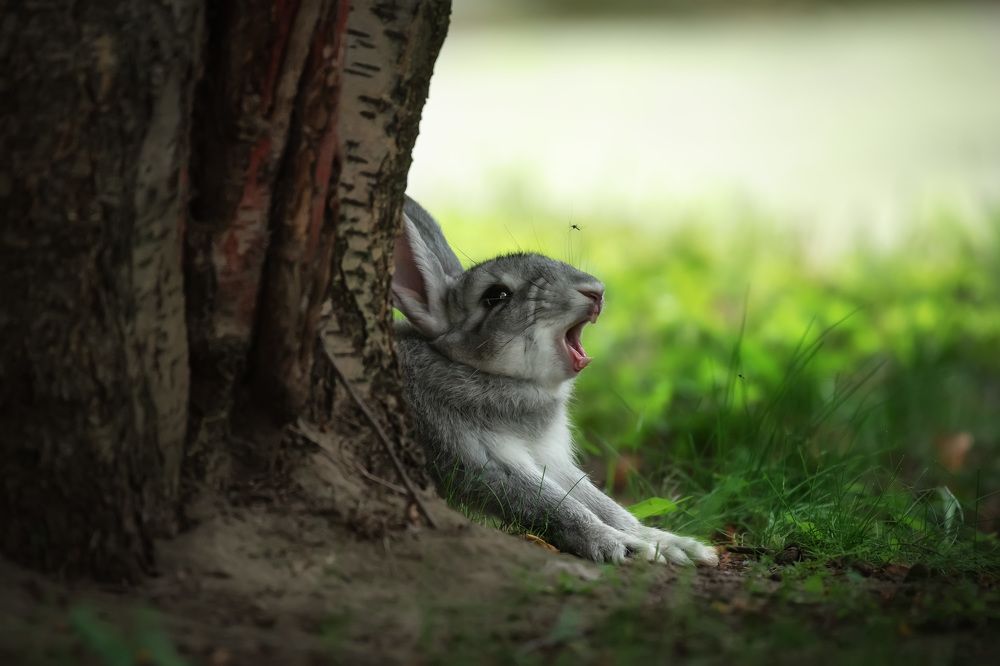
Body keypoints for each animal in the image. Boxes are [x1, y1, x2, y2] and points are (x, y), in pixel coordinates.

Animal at [392, 196, 719, 567]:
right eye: (496, 295)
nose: (594, 291)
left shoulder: (555, 461)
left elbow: (605, 505)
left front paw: (676, 544)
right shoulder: (478, 460)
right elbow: (557, 506)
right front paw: (626, 547)